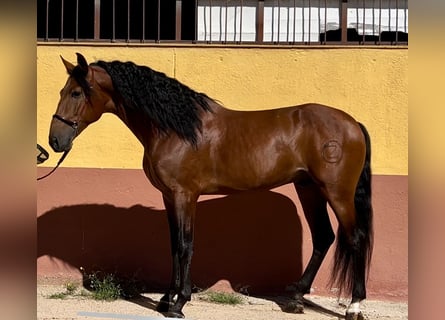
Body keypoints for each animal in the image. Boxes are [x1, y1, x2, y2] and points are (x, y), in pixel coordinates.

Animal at [47, 53, 372, 320]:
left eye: (76, 92)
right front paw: (166, 299)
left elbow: (185, 245)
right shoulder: (169, 197)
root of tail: (352, 123)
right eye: (61, 91)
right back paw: (295, 298)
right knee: (323, 238)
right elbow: (173, 245)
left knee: (354, 238)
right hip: (309, 189)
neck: (177, 129)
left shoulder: (185, 195)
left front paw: (179, 303)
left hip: (337, 193)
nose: (54, 141)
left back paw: (354, 306)